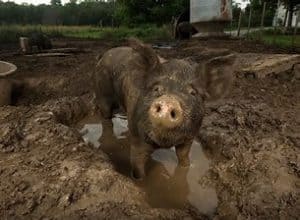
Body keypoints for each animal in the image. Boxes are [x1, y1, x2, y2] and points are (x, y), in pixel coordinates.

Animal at [95, 38, 236, 179]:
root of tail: (105, 55)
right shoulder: (137, 137)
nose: (168, 101)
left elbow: (183, 157)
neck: (164, 144)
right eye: (156, 88)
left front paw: (186, 168)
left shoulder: (189, 137)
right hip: (102, 93)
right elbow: (137, 166)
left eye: (193, 92)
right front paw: (140, 181)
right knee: (106, 118)